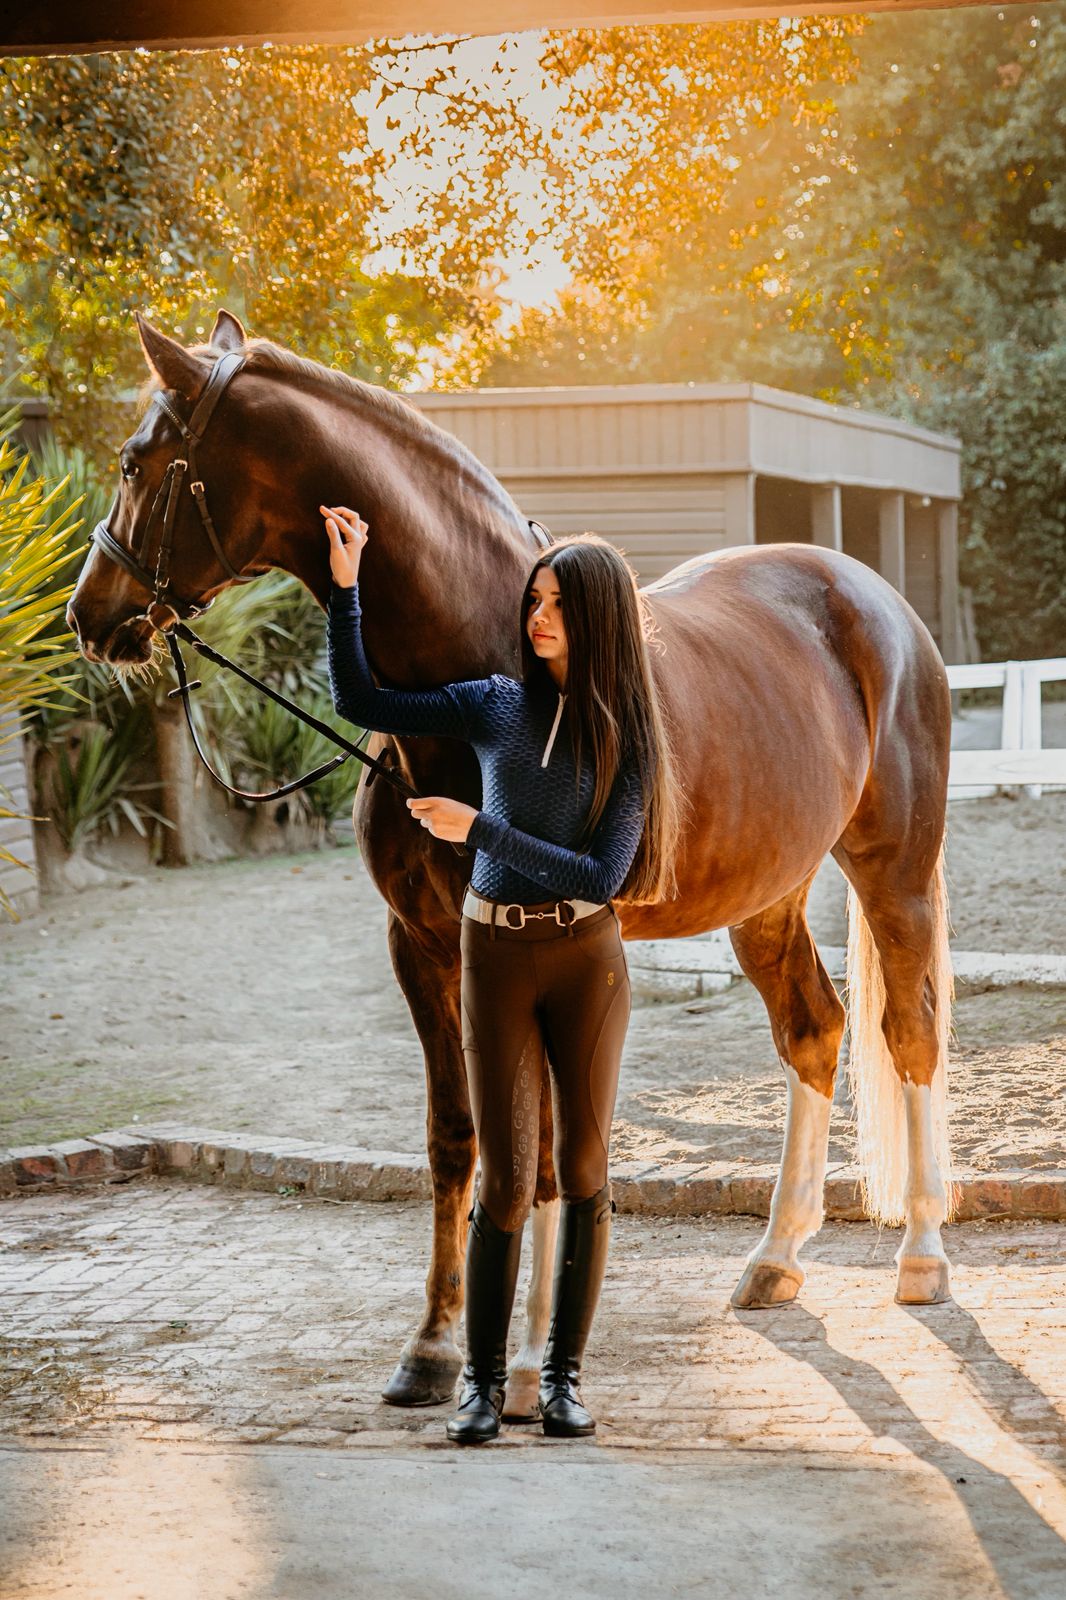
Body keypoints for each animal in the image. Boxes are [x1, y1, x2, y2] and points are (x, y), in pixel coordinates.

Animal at [67, 309, 956, 1415]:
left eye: (136, 461)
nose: (86, 614)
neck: (473, 676)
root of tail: (874, 601)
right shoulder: (421, 945)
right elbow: (463, 1140)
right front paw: (434, 1347)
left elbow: (530, 1154)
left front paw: (527, 1364)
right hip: (766, 898)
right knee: (814, 1033)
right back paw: (775, 1258)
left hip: (894, 871)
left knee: (908, 1033)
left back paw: (921, 1254)